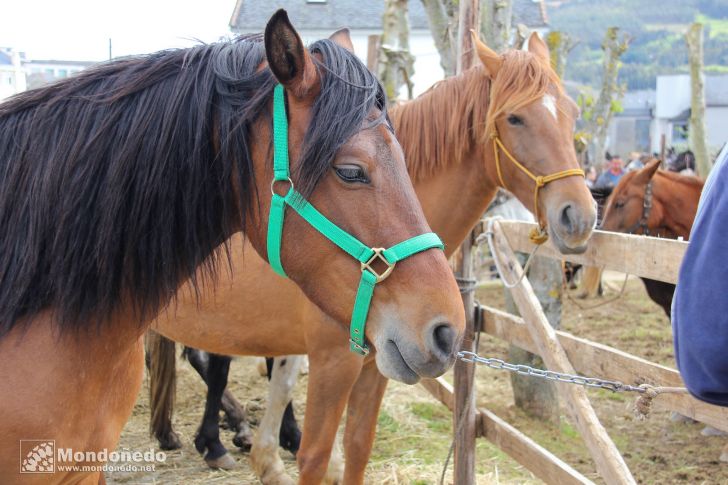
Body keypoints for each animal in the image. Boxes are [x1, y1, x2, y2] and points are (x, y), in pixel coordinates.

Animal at [149, 32, 596, 482]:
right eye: (515, 118)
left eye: (573, 115)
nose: (579, 216)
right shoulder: (332, 361)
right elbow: (313, 451)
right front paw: (278, 452)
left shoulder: (376, 364)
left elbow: (356, 443)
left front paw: (273, 454)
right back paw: (216, 440)